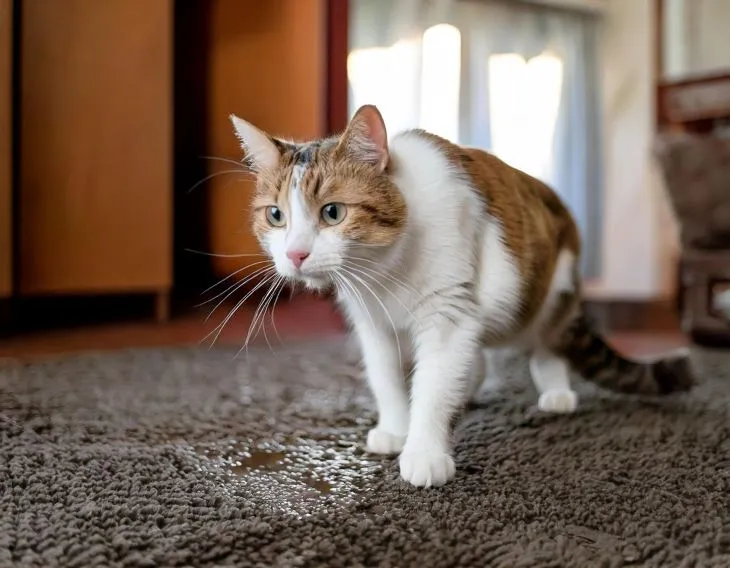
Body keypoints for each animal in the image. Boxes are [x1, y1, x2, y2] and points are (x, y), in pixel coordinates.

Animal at [229, 105, 692, 488]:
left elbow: (433, 389)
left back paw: (555, 392)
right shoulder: (372, 323)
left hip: (550, 292)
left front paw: (424, 452)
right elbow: (386, 379)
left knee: (547, 343)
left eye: (333, 213)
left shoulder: (447, 312)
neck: (385, 272)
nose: (295, 254)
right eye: (276, 216)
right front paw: (396, 428)